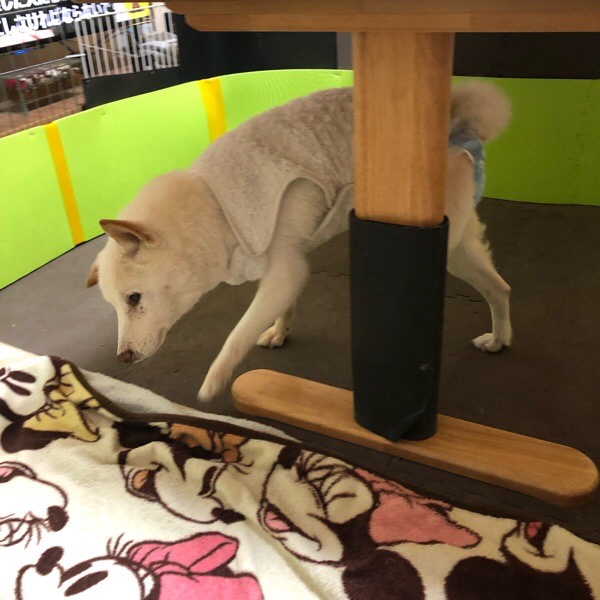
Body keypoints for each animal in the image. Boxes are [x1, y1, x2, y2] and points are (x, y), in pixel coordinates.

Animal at [86, 82, 512, 402]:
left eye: (134, 299)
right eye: (115, 307)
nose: (123, 358)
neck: (215, 205)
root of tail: (464, 123)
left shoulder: (285, 270)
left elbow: (236, 335)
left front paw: (213, 381)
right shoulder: (280, 271)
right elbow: (280, 309)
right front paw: (279, 331)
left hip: (444, 249)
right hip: (462, 252)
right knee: (501, 289)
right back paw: (499, 340)